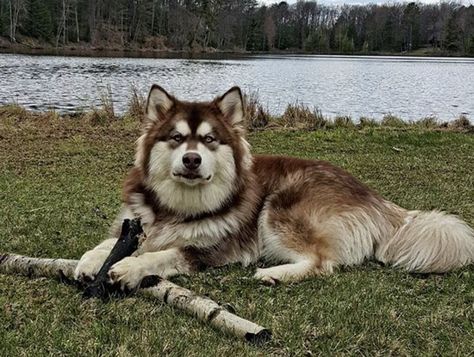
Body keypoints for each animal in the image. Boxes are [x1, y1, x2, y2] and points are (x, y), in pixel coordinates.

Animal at [73, 85, 474, 286]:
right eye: (176, 138)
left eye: (210, 140)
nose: (192, 160)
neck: (178, 207)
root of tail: (375, 198)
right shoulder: (139, 224)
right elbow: (109, 243)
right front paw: (89, 260)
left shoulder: (214, 249)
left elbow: (163, 254)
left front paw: (128, 268)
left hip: (280, 207)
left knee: (323, 263)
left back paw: (272, 275)